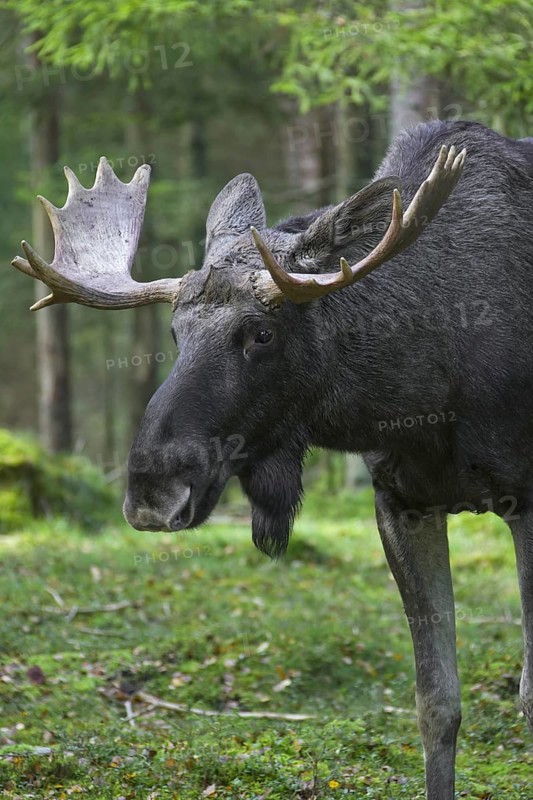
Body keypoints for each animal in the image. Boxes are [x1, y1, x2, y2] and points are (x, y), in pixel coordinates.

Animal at [12, 119, 533, 799]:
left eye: (262, 332)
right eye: (176, 333)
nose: (152, 492)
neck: (429, 390)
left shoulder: (527, 498)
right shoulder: (401, 501)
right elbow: (435, 702)